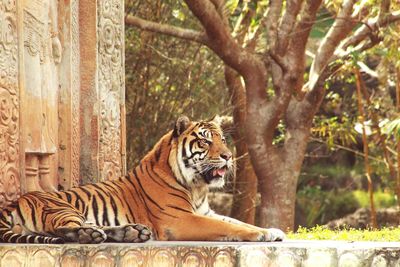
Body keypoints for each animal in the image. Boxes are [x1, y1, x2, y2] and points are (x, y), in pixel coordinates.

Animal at [0, 116, 288, 244]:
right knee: (62, 231)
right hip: (62, 208)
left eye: (223, 139)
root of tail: (11, 204)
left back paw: (131, 232)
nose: (228, 156)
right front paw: (261, 234)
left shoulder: (206, 212)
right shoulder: (179, 219)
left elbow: (234, 221)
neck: (197, 188)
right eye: (206, 141)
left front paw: (272, 230)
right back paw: (92, 235)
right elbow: (229, 227)